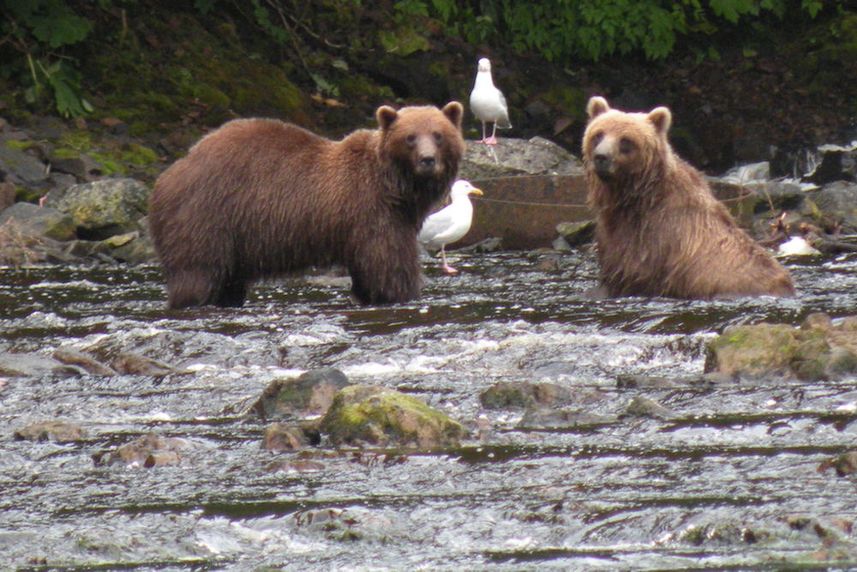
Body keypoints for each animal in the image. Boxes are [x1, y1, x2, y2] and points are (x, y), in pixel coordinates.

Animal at [150, 103, 464, 308]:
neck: (397, 189)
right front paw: (403, 293)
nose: (427, 160)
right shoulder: (372, 213)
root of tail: (167, 175)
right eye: (410, 137)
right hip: (206, 218)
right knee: (197, 273)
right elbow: (389, 266)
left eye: (438, 134)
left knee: (228, 281)